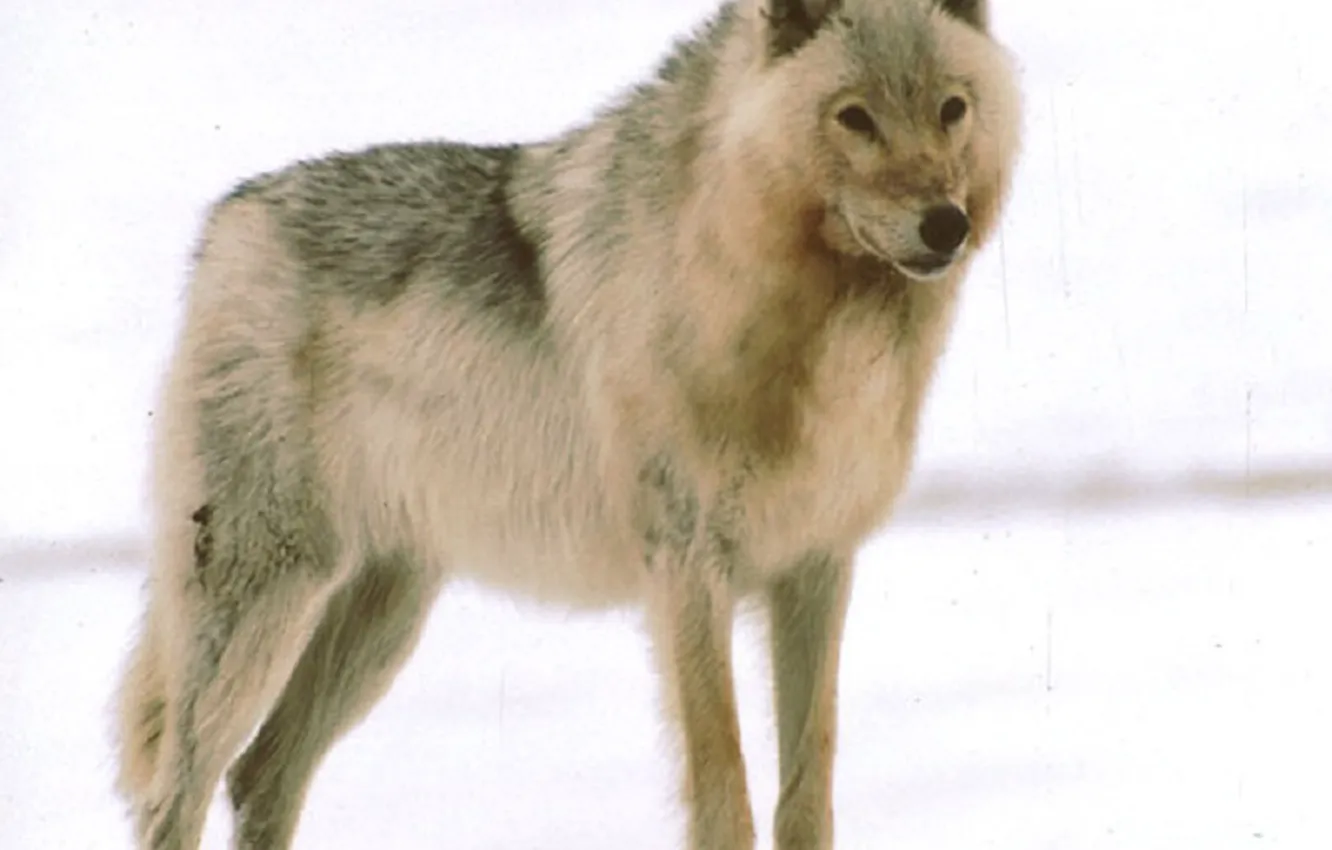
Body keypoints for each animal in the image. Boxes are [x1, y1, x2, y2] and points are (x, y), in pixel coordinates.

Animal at [114, 0, 1021, 847]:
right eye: (855, 117)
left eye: (951, 108)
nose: (946, 223)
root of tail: (225, 225)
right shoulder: (688, 570)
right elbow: (723, 793)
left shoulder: (817, 567)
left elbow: (808, 791)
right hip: (263, 606)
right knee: (176, 797)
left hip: (382, 617)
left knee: (261, 776)